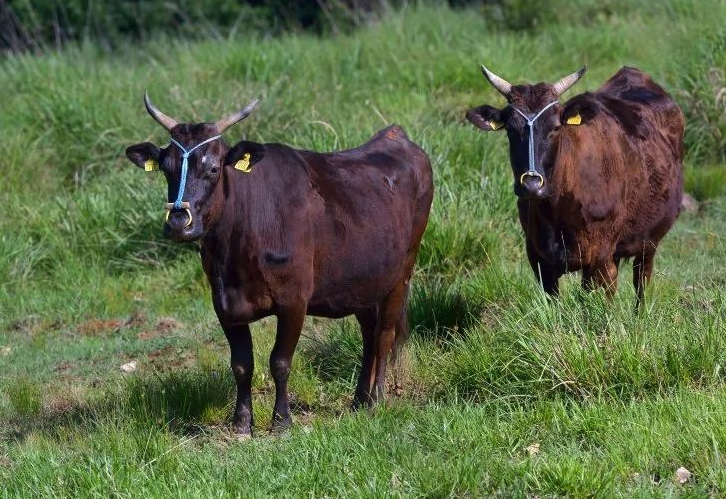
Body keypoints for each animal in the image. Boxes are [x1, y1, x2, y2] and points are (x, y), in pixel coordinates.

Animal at [126, 94, 436, 438]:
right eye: (166, 169)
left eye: (213, 168)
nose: (179, 223)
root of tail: (395, 136)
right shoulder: (224, 304)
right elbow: (241, 365)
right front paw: (241, 422)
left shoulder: (294, 300)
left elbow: (280, 361)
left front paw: (281, 420)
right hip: (363, 281)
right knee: (369, 335)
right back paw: (359, 400)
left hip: (402, 271)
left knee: (384, 334)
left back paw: (377, 400)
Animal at [470, 65, 684, 308]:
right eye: (510, 130)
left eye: (556, 128)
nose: (531, 185)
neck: (556, 212)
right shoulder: (537, 255)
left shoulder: (599, 258)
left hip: (650, 240)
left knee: (642, 280)